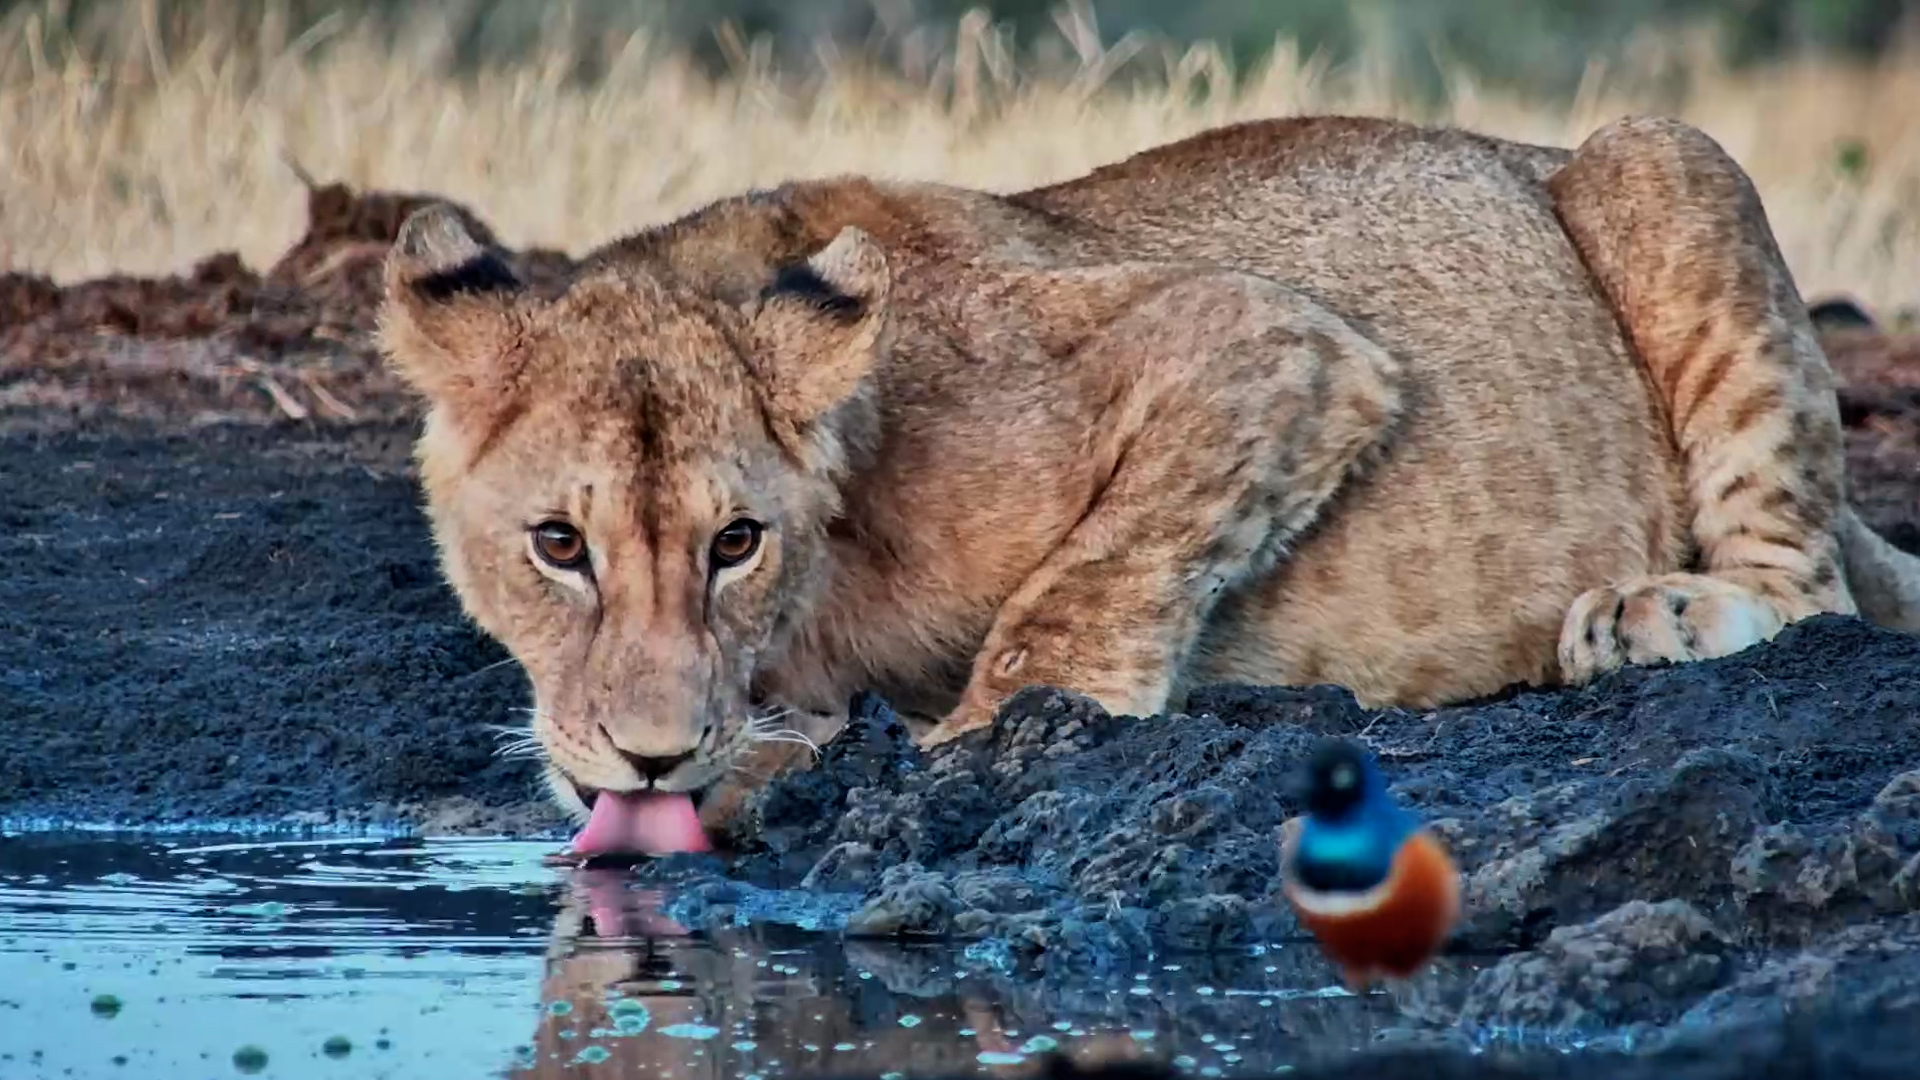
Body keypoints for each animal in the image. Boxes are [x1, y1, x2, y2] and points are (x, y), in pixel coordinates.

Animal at [376, 115, 1920, 848]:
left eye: (735, 541)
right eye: (558, 546)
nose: (647, 757)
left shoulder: (1268, 339)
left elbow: (1071, 600)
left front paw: (927, 745)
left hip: (1662, 153)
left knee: (1814, 584)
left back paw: (1655, 614)